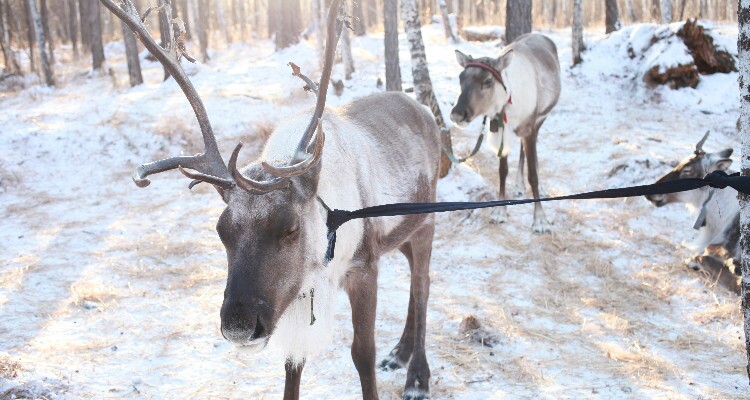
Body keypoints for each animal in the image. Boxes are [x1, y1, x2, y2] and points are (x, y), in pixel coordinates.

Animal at [100, 1, 440, 399]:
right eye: (221, 231)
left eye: (290, 228)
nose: (238, 325)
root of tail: (424, 110)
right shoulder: (293, 296)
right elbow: (293, 363)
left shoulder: (363, 267)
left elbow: (363, 352)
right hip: (402, 229)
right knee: (415, 279)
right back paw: (400, 352)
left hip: (427, 220)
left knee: (423, 284)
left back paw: (417, 377)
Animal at [450, 33, 561, 234]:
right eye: (461, 78)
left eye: (487, 81)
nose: (457, 114)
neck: (507, 101)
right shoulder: (501, 130)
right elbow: (502, 171)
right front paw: (500, 212)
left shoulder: (530, 128)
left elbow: (533, 175)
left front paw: (540, 220)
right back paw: (518, 185)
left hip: (541, 119)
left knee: (531, 152)